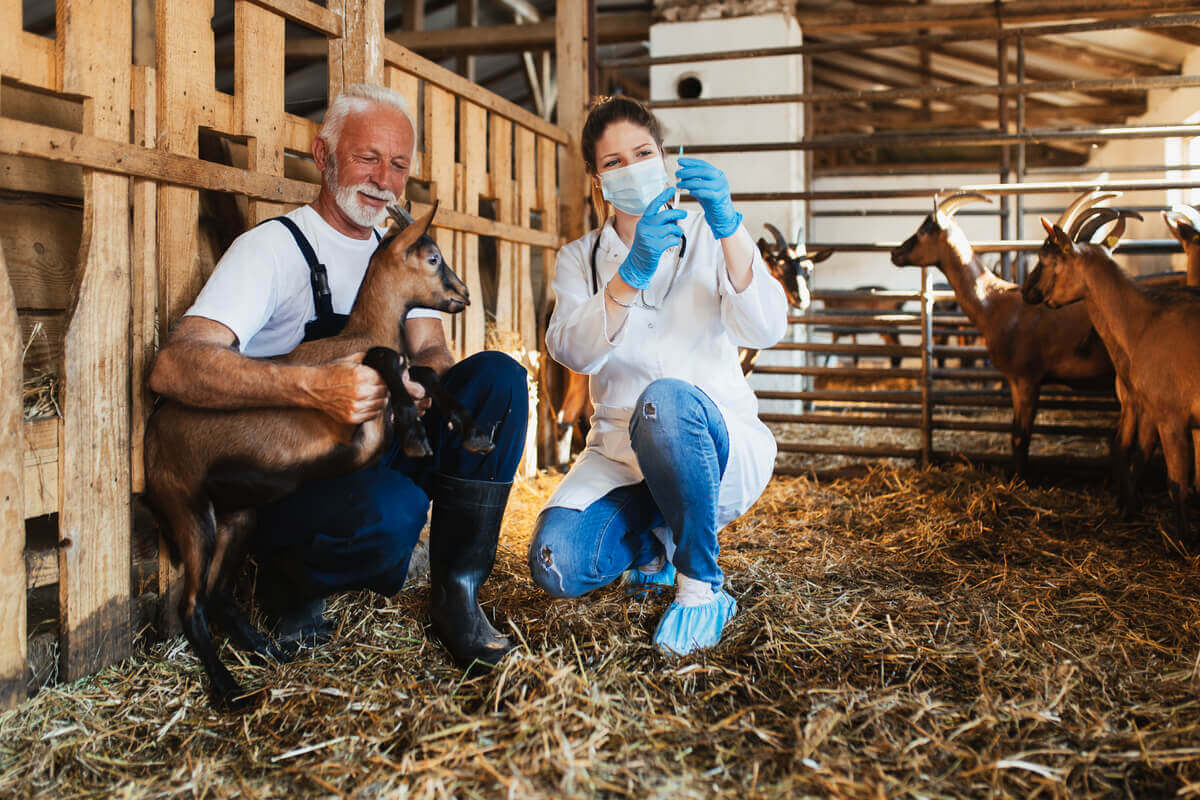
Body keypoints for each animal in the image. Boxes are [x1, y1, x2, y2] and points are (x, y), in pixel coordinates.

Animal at [892, 190, 1113, 479]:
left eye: (923, 230)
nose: (894, 253)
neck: (995, 299)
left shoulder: (1026, 380)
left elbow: (1020, 436)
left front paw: (1019, 481)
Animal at [1022, 214, 1200, 551]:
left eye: (1045, 258)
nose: (1026, 291)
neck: (1144, 322)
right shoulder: (1155, 410)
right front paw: (1129, 508)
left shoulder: (1168, 415)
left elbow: (1176, 480)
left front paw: (1182, 541)